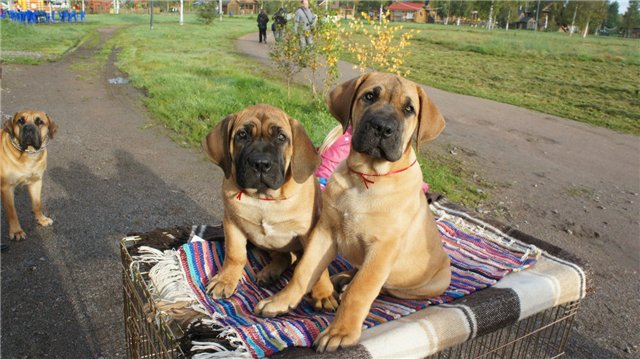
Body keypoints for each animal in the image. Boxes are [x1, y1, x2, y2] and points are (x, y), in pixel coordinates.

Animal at [1, 111, 57, 240]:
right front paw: (16, 231)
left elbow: (37, 204)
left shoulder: (36, 182)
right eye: (20, 121)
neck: (28, 154)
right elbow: (12, 212)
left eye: (39, 122)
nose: (28, 128)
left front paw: (41, 219)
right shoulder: (7, 188)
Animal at [202, 104, 338, 312]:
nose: (260, 163)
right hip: (264, 243)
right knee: (285, 257)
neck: (264, 198)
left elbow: (315, 266)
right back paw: (269, 273)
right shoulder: (232, 222)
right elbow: (235, 254)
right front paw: (225, 280)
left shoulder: (311, 233)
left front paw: (323, 293)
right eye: (242, 135)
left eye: (281, 137)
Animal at [252, 72, 452, 352]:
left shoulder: (383, 248)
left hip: (430, 282)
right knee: (355, 273)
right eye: (369, 96)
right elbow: (304, 269)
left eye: (409, 109)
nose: (382, 127)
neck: (367, 177)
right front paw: (281, 301)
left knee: (383, 286)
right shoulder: (325, 232)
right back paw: (342, 278)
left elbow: (362, 290)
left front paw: (341, 331)